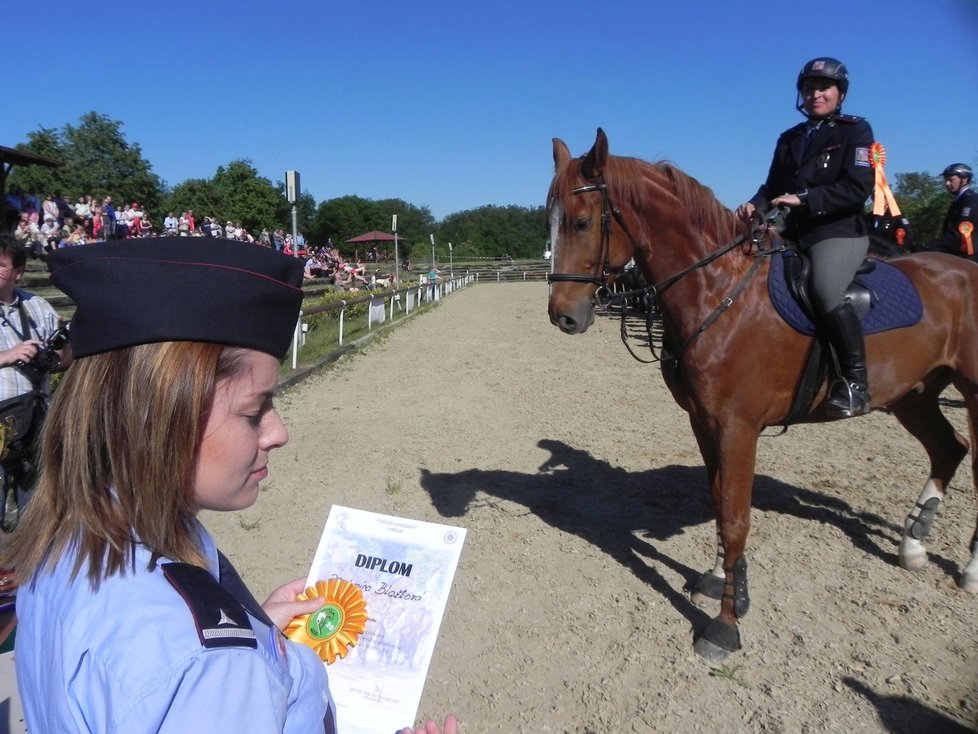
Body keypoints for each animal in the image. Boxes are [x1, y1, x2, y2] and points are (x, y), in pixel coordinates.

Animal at [548, 129, 976, 664]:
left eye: (583, 222)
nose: (562, 315)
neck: (719, 292)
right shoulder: (704, 421)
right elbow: (719, 500)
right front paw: (719, 580)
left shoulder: (738, 426)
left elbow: (736, 518)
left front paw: (725, 626)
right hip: (912, 393)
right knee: (948, 449)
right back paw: (913, 545)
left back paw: (969, 570)